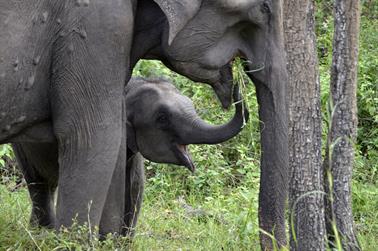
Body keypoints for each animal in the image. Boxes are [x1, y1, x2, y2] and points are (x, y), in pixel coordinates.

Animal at [10, 77, 248, 236]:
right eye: (162, 118)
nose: (238, 85)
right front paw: (108, 240)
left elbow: (135, 186)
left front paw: (123, 241)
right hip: (21, 142)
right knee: (38, 183)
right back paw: (43, 231)